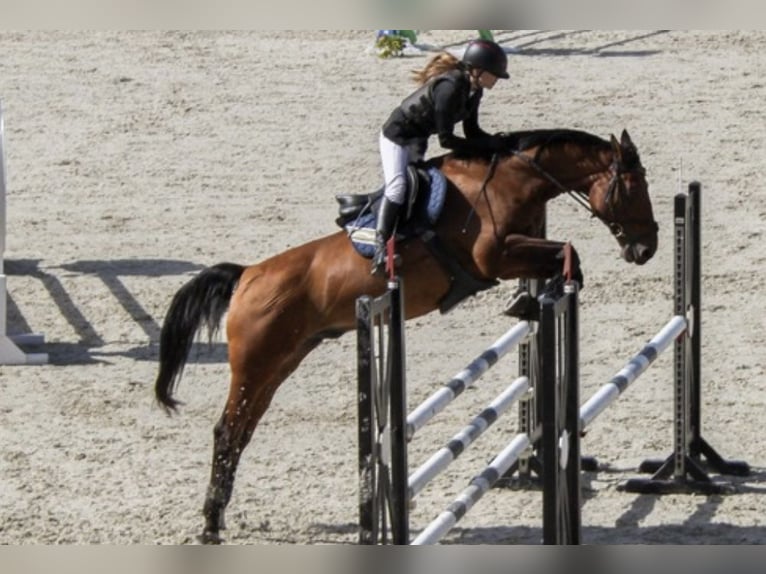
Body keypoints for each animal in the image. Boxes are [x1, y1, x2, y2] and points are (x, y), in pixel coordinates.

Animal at [154, 129, 660, 544]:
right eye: (635, 187)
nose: (647, 248)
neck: (511, 180)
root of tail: (246, 277)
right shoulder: (494, 257)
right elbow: (567, 251)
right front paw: (530, 300)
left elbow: (560, 256)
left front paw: (535, 298)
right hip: (255, 364)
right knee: (227, 431)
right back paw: (210, 524)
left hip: (280, 364)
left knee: (241, 432)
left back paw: (218, 516)